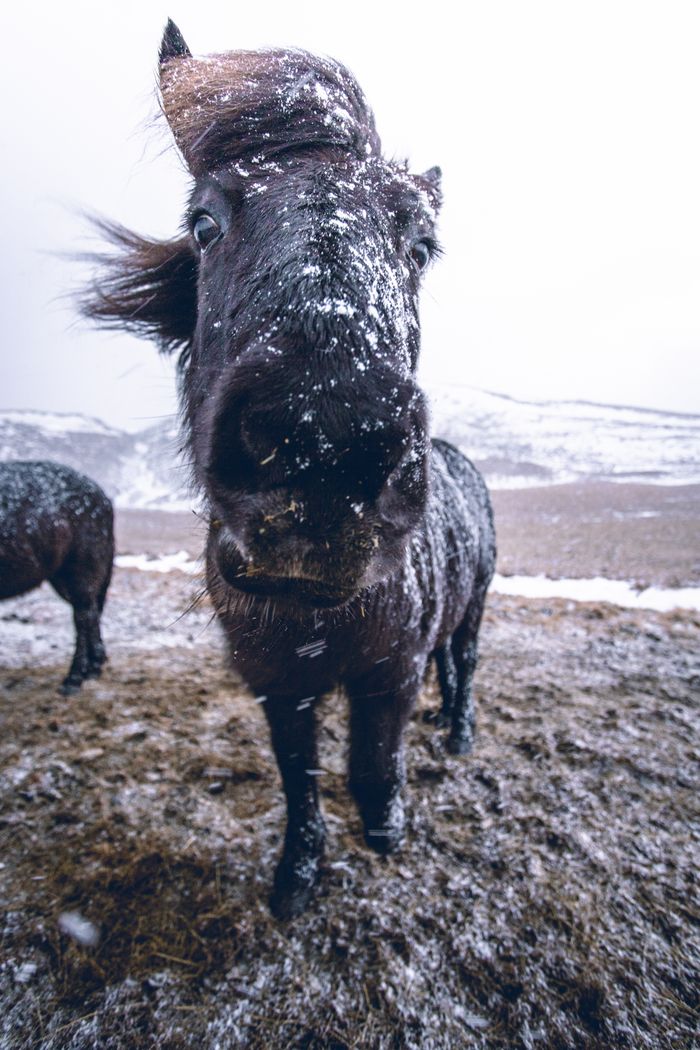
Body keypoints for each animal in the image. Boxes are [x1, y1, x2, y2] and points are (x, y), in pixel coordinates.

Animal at [0, 461, 113, 694]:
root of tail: (102, 496)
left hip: (80, 571)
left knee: (83, 617)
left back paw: (74, 679)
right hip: (62, 577)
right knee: (91, 615)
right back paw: (92, 669)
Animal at [82, 20, 496, 918]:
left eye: (421, 246)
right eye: (203, 222)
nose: (325, 450)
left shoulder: (390, 670)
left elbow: (372, 760)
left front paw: (385, 827)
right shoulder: (277, 684)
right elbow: (299, 776)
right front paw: (298, 871)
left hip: (475, 608)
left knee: (465, 663)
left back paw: (457, 733)